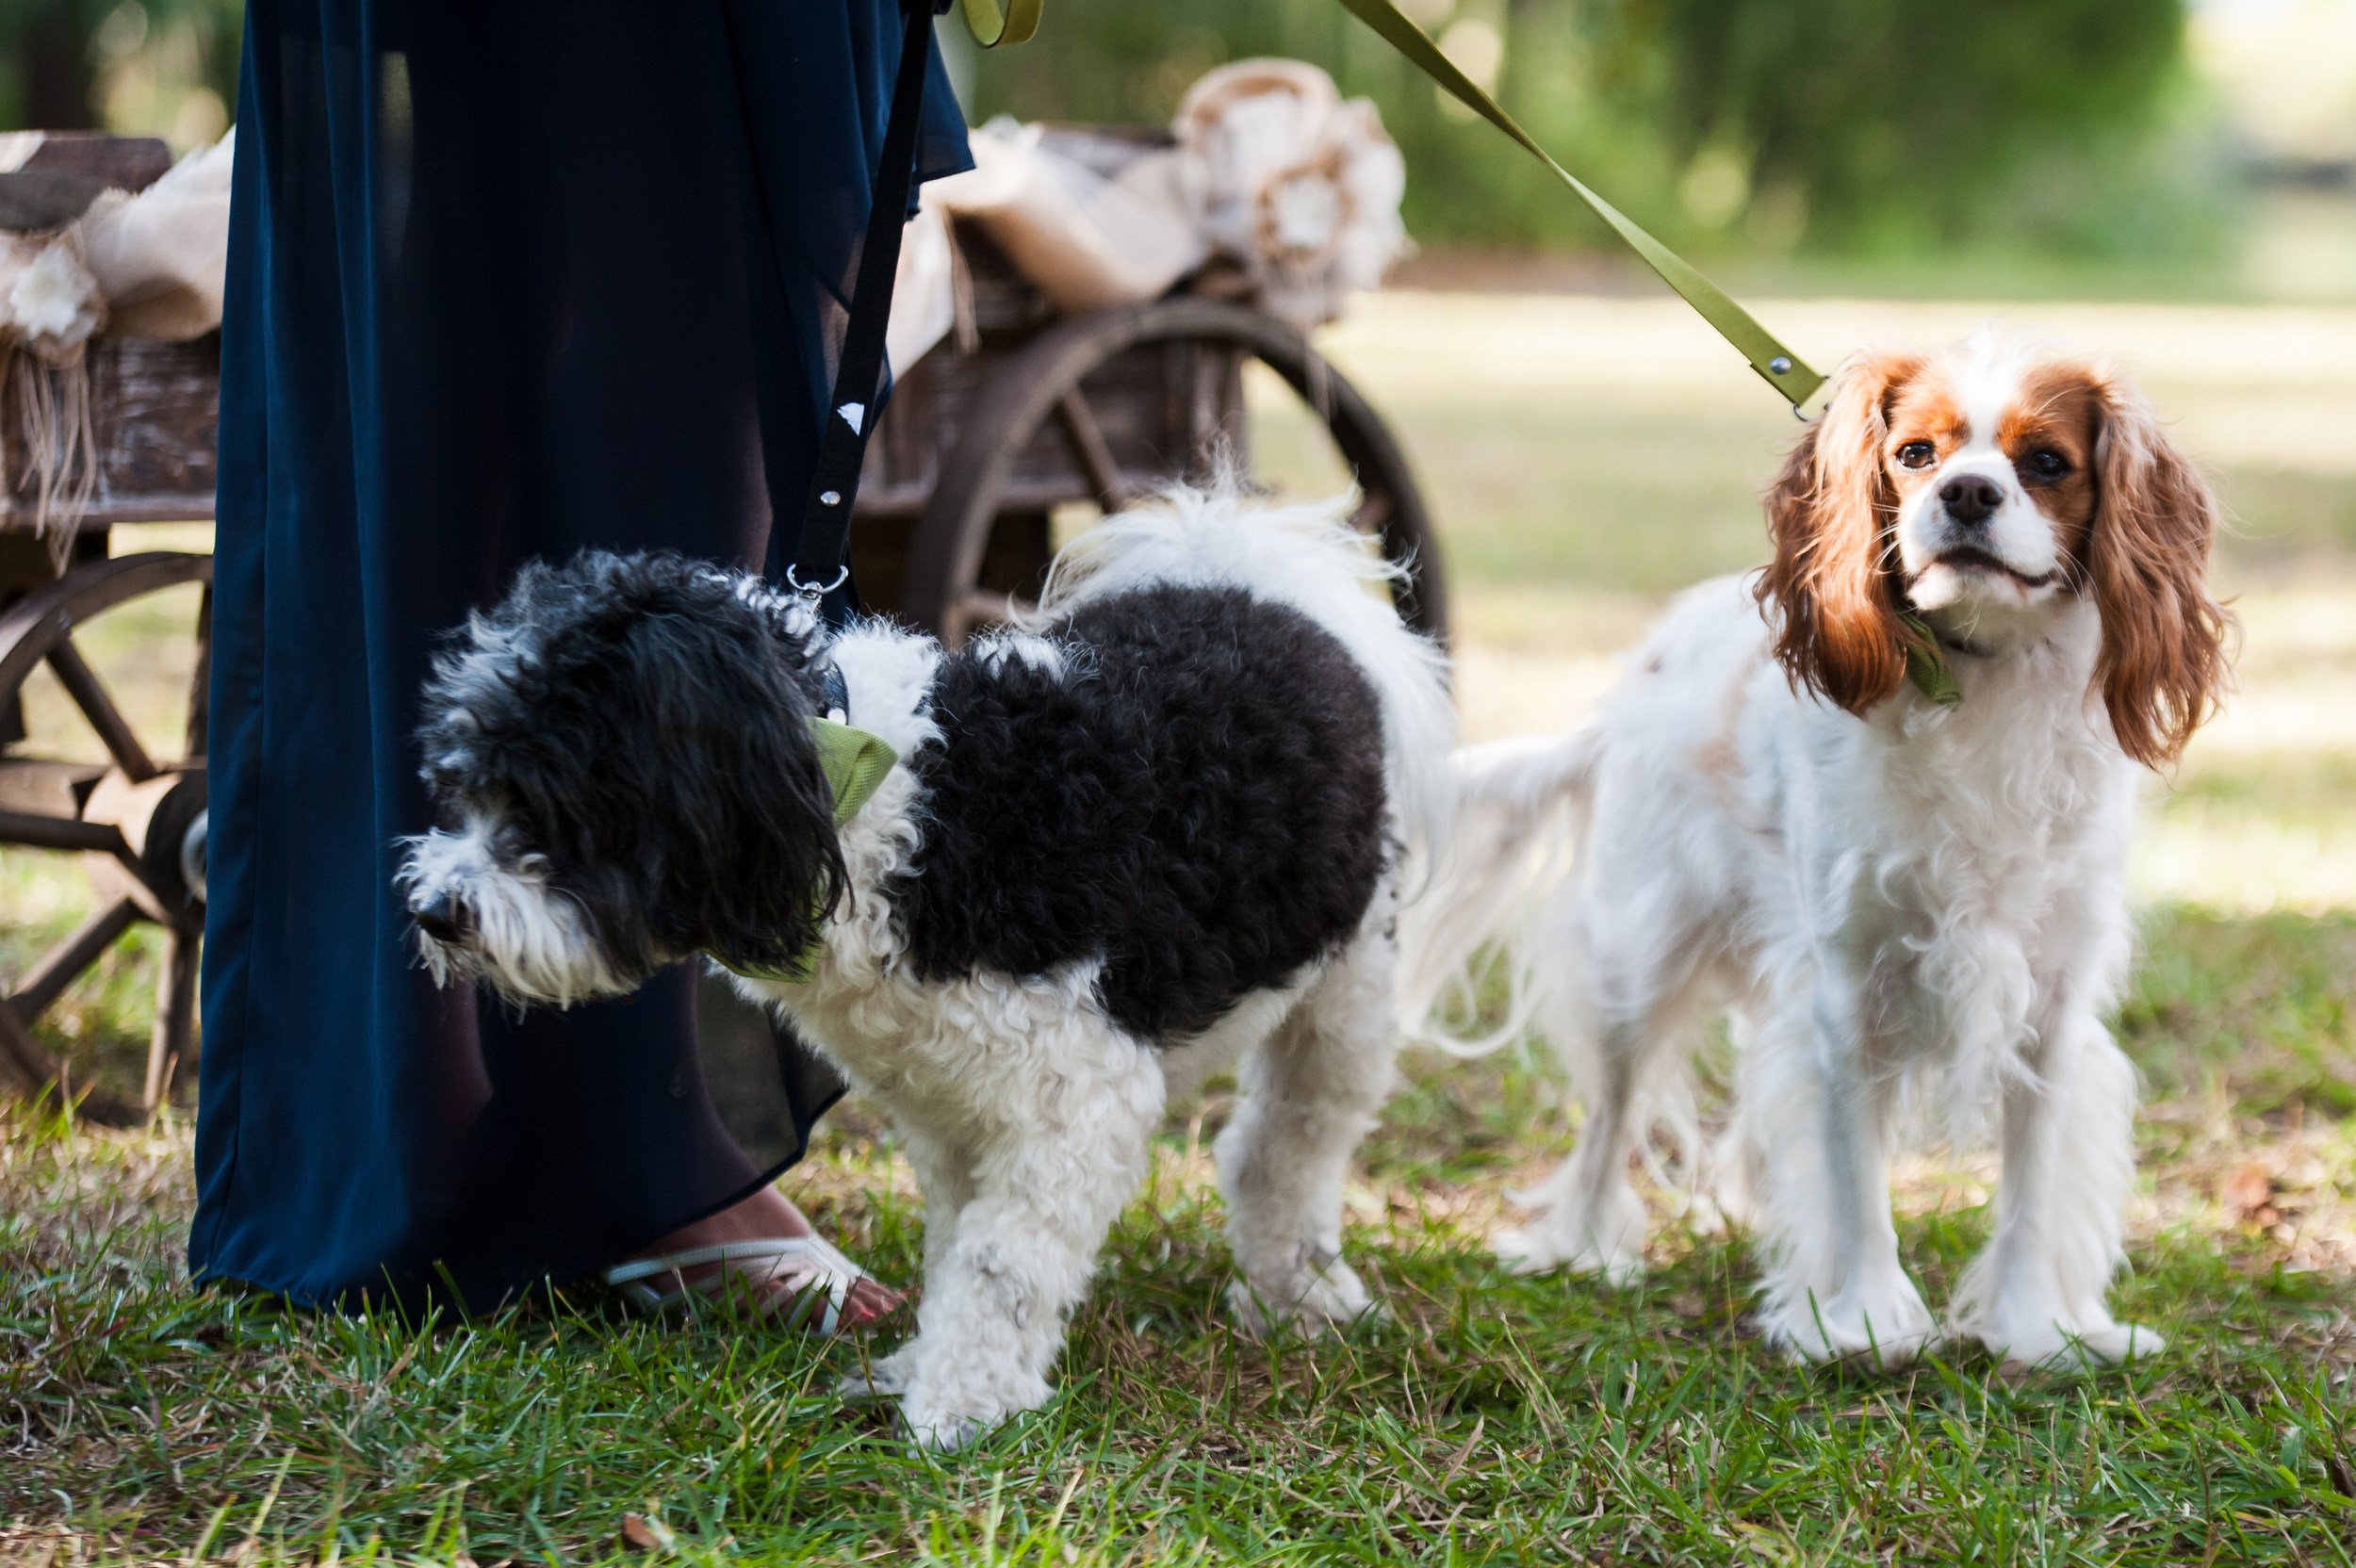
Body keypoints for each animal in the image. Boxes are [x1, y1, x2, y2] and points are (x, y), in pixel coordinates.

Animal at [401, 494, 1451, 1450]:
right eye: (461, 780)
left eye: (546, 798)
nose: (434, 911)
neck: (872, 803)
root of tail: (1253, 579)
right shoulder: (949, 1106)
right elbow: (955, 1242)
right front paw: (914, 1367)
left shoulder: (1076, 1099)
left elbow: (999, 1262)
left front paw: (958, 1408)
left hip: (1347, 992)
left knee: (1286, 1147)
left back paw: (1299, 1295)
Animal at [1404, 329, 2233, 1365]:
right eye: (1915, 454)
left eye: (2046, 463)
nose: (1966, 493)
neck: (1982, 677)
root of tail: (1640, 668)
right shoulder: (1848, 989)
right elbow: (1854, 1175)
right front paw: (1863, 1317)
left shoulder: (2048, 1000)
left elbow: (2031, 1184)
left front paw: (2035, 1327)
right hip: (1640, 955)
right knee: (1611, 1112)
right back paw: (1583, 1246)